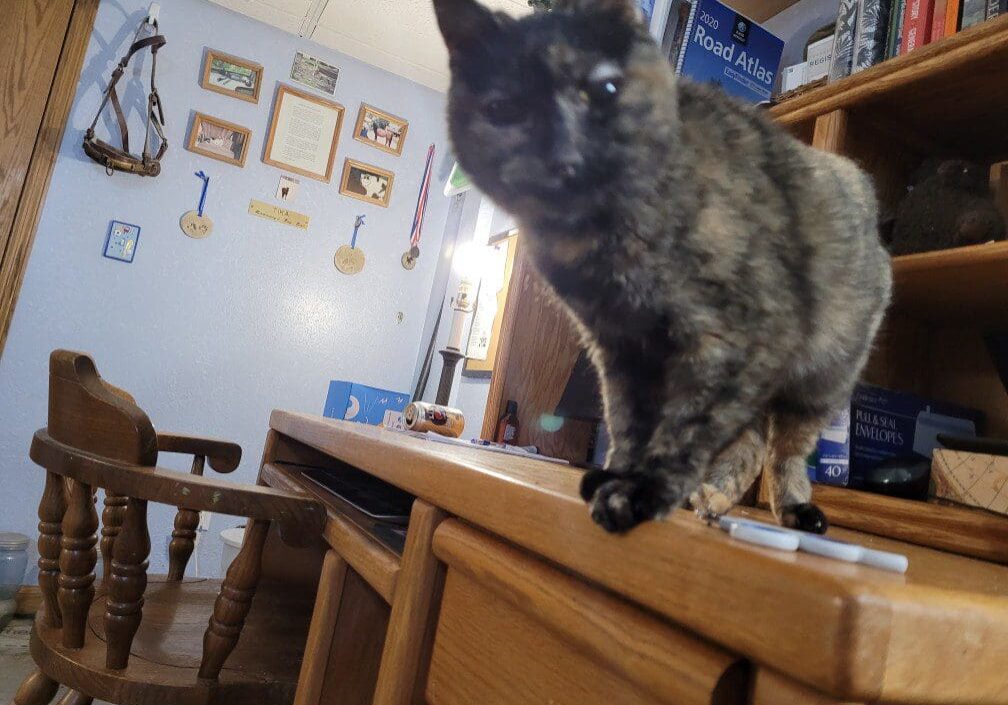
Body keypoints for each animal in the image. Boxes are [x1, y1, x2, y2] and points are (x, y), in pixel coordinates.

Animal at [433, 0, 891, 532]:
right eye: (503, 107)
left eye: (606, 88)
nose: (564, 156)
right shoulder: (621, 347)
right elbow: (629, 420)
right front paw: (622, 475)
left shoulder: (729, 340)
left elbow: (685, 429)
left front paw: (641, 491)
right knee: (751, 442)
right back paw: (713, 500)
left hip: (821, 378)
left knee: (785, 452)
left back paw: (794, 509)